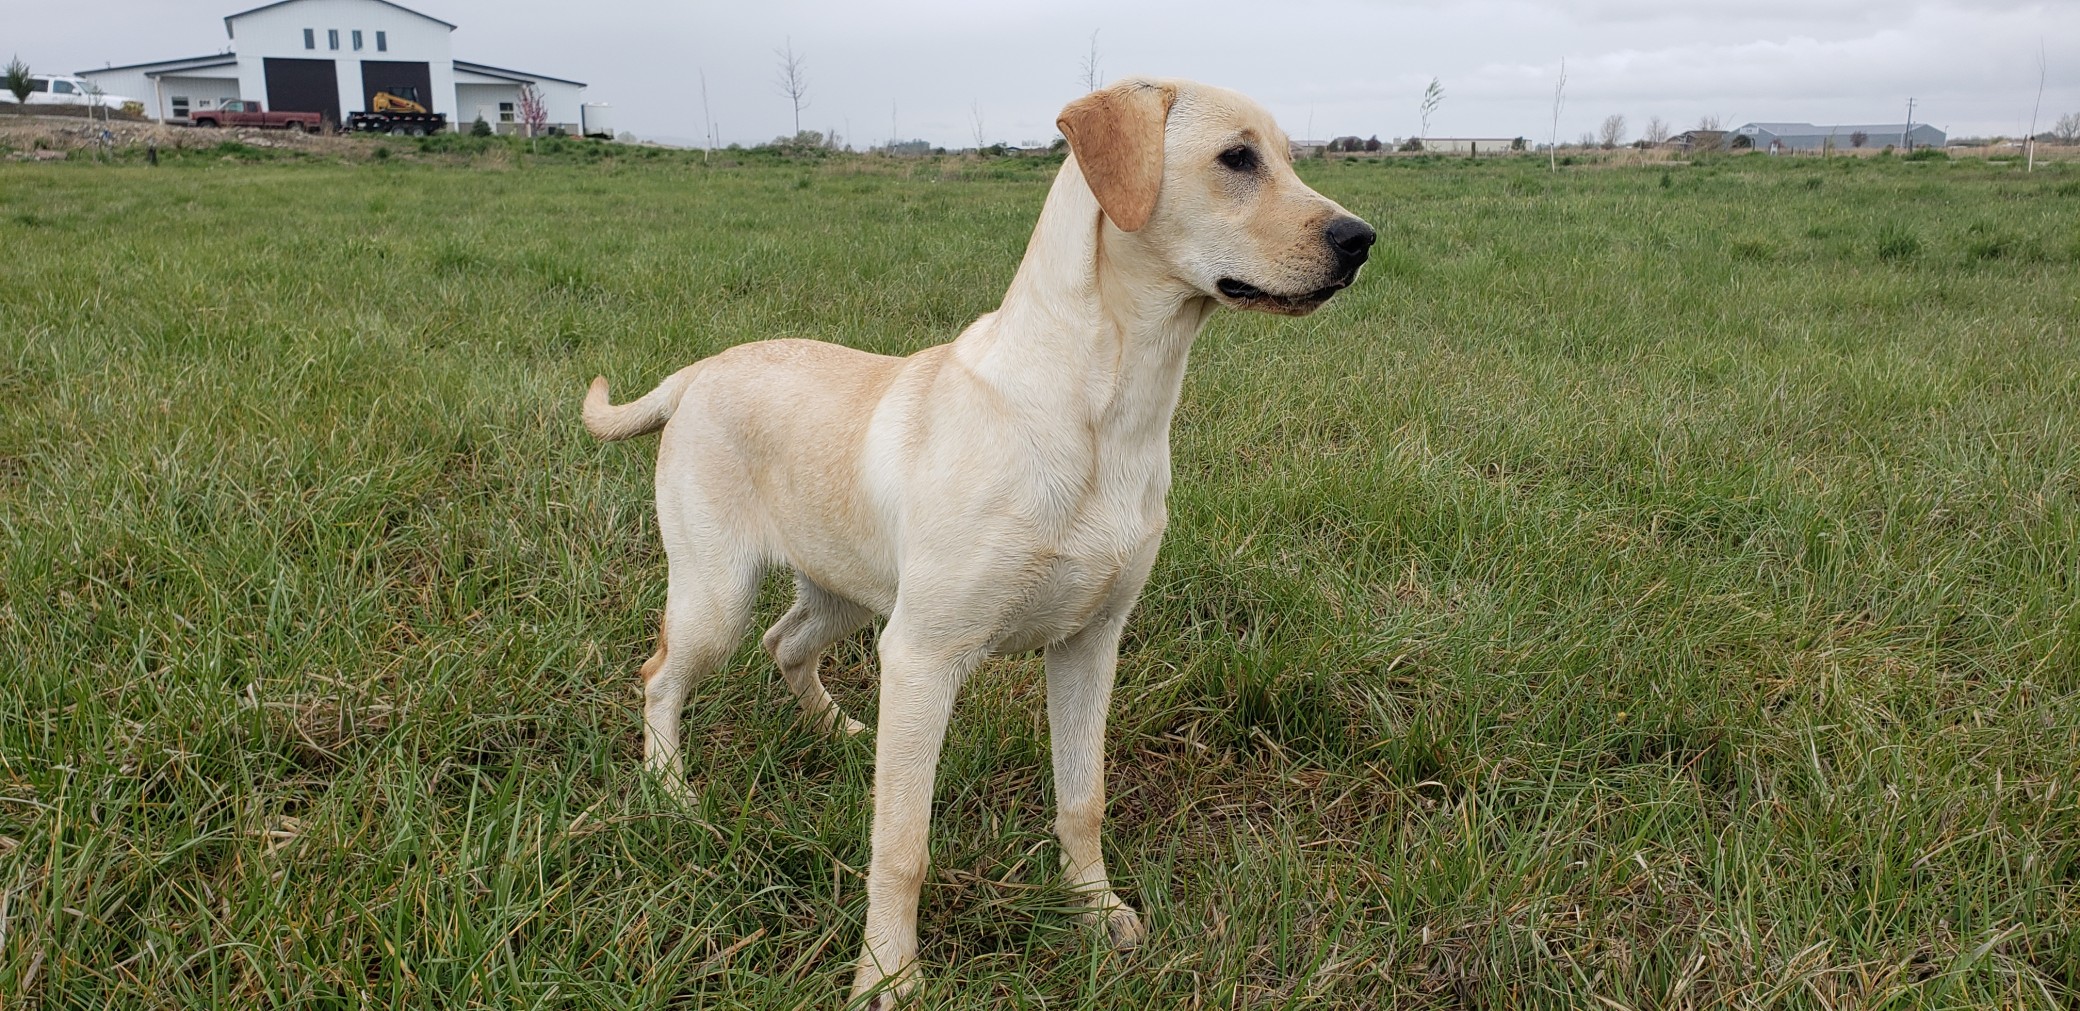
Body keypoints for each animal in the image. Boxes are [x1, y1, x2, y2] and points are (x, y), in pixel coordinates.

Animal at [586, 79, 1372, 1002]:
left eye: (1288, 156)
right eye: (1237, 158)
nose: (1361, 240)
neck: (1106, 409)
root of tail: (697, 373)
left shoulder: (1089, 643)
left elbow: (1081, 798)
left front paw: (1096, 911)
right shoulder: (925, 655)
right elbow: (901, 847)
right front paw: (887, 977)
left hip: (848, 596)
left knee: (787, 643)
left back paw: (843, 732)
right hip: (720, 597)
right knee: (661, 676)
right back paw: (672, 794)